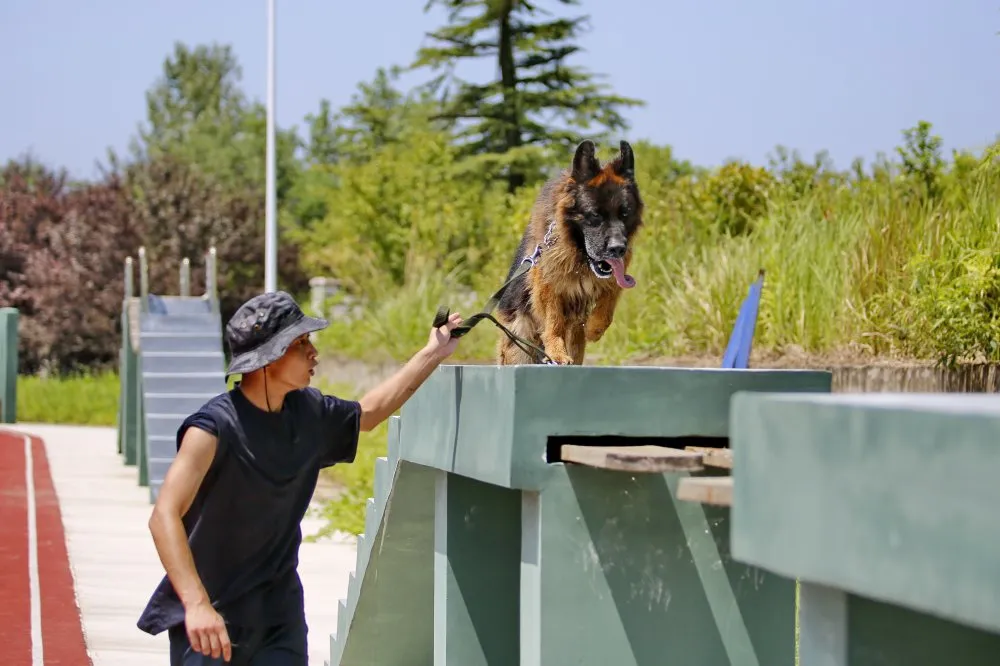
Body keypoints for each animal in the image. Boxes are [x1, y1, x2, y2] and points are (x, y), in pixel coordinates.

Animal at [496, 140, 644, 366]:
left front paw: (594, 328)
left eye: (625, 214)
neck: (578, 255)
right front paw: (557, 352)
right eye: (595, 215)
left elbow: (607, 305)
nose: (618, 248)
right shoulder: (547, 282)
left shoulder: (617, 276)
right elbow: (554, 320)